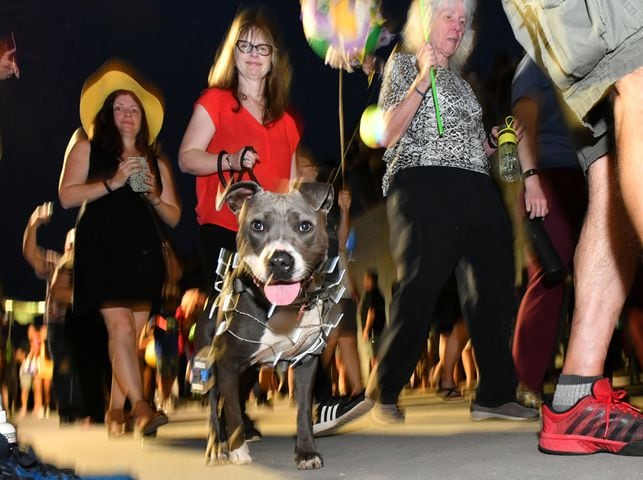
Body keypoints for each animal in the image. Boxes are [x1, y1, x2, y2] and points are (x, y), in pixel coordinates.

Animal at [206, 180, 342, 468]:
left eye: (305, 226)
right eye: (257, 225)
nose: (280, 260)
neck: (282, 310)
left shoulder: (306, 362)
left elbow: (303, 410)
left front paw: (306, 452)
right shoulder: (227, 363)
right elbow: (231, 407)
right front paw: (237, 450)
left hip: (247, 373)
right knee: (215, 404)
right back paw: (217, 446)